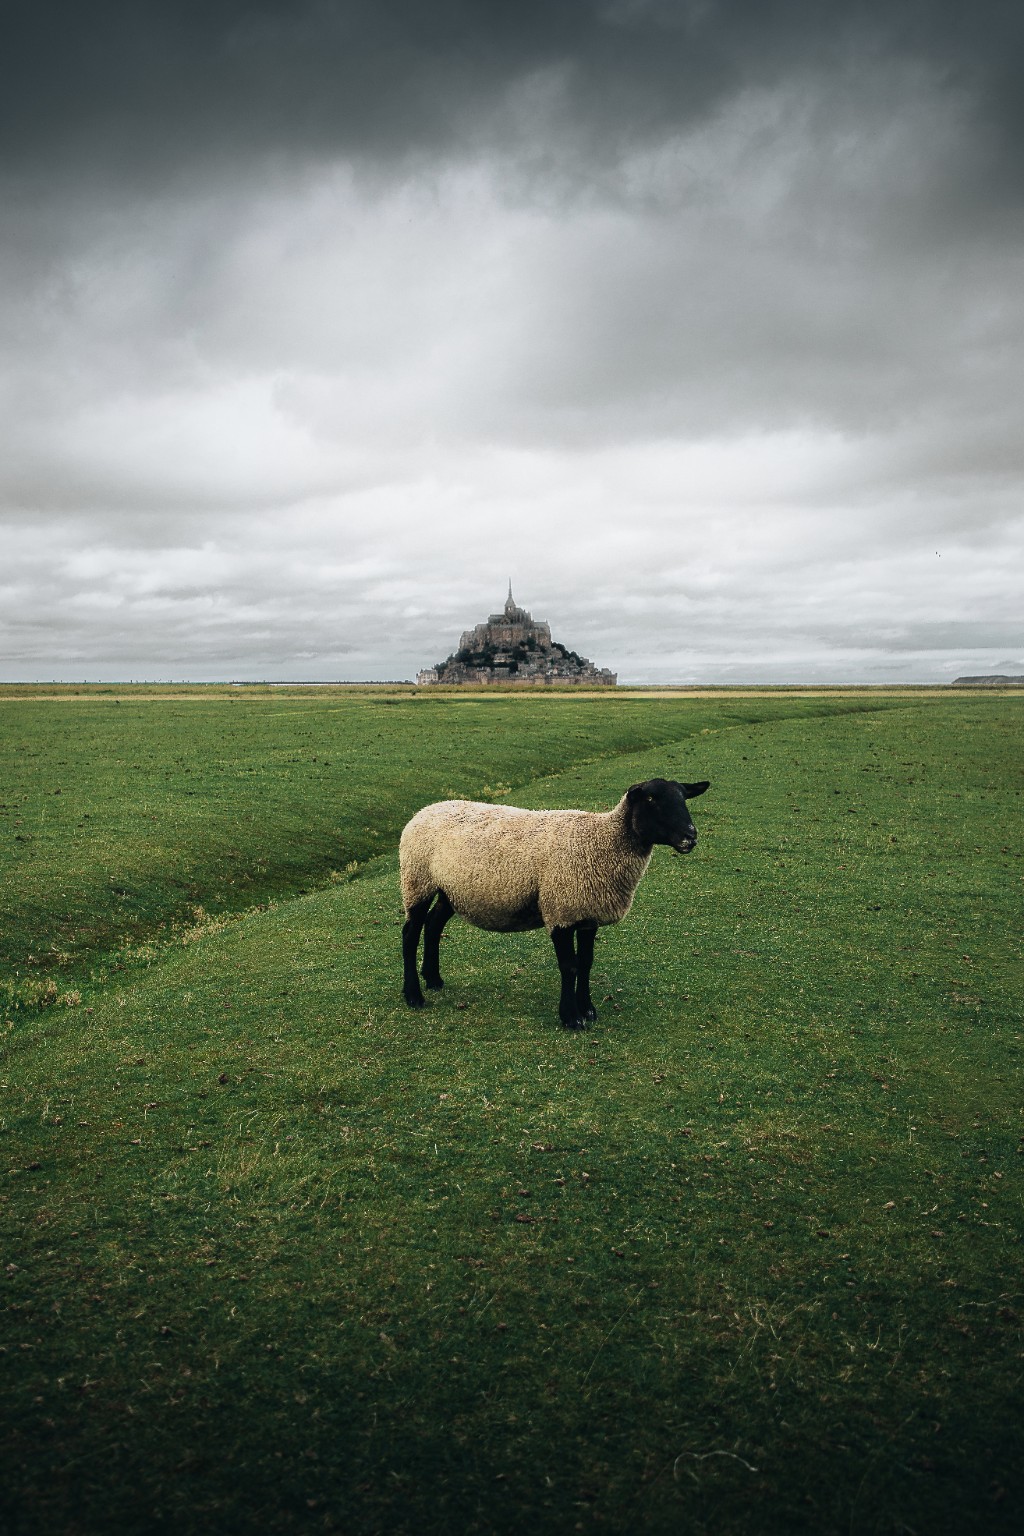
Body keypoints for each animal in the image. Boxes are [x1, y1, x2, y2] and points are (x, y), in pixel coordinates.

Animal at [399, 777, 709, 1028]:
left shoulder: (587, 915)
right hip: (417, 880)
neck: (602, 841)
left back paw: (433, 979)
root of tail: (424, 810)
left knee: (434, 925)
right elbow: (569, 966)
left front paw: (588, 1009)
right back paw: (414, 995)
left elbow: (586, 963)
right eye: (651, 800)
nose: (690, 837)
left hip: (450, 889)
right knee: (410, 933)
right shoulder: (561, 911)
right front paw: (571, 1017)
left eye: (683, 797)